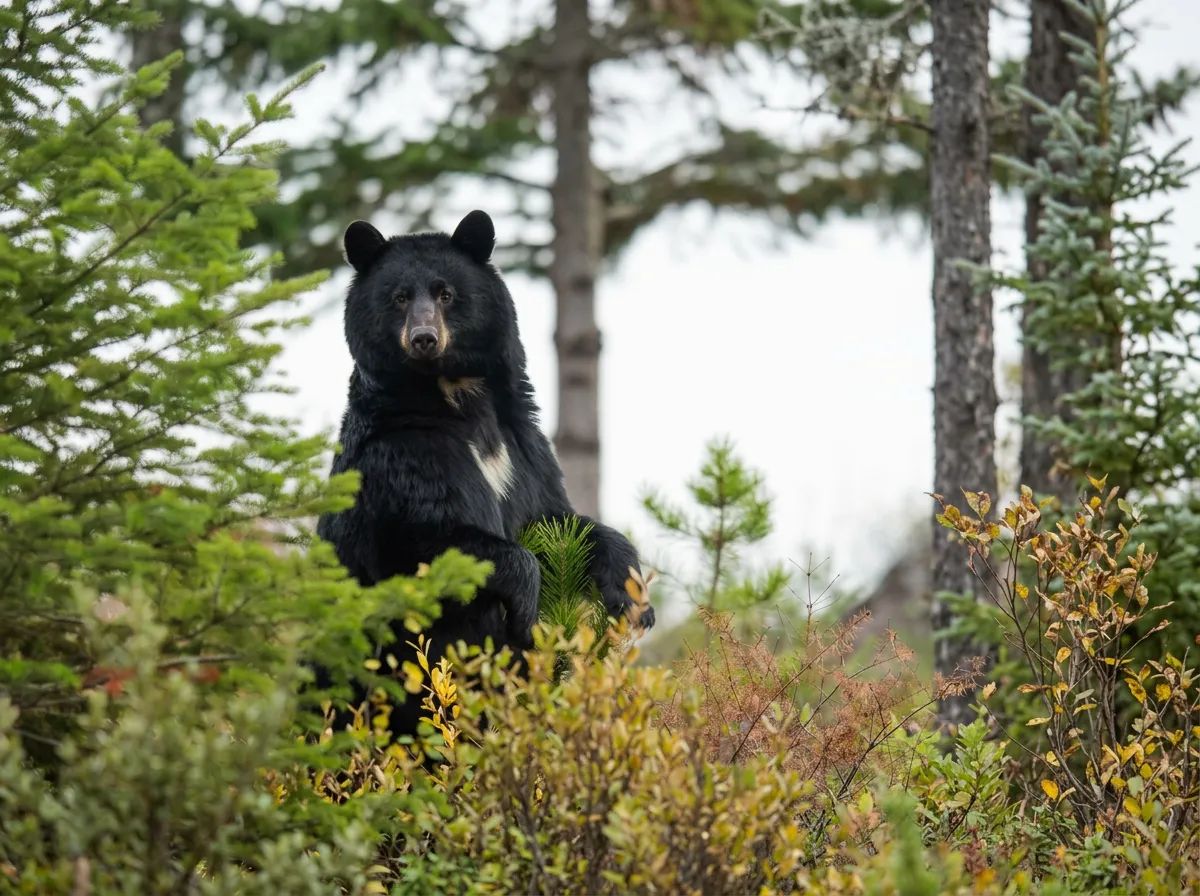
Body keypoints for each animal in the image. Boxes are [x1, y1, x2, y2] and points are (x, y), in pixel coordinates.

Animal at [316, 209, 655, 735]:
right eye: (398, 297)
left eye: (445, 293)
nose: (424, 339)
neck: (457, 394)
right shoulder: (402, 453)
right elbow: (433, 535)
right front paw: (527, 607)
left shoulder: (524, 447)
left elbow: (557, 518)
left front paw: (632, 598)